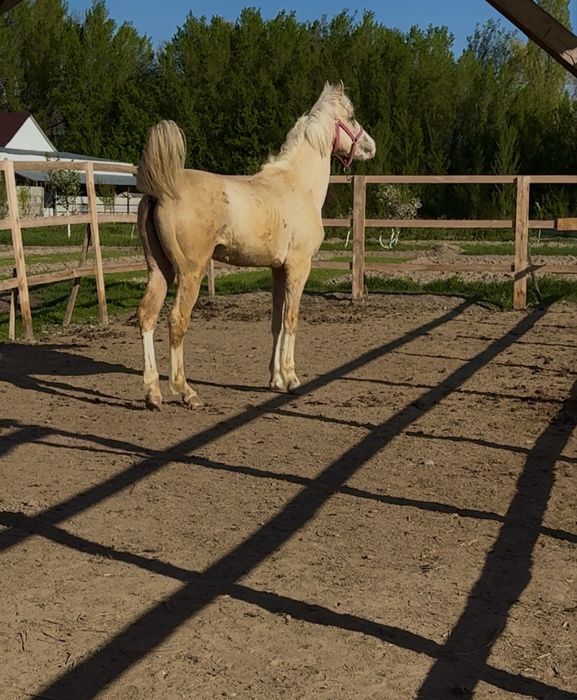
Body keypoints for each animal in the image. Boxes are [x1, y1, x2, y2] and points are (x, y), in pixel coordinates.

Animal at [136, 81, 376, 410]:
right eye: (351, 117)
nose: (371, 146)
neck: (298, 184)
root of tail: (162, 189)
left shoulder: (277, 269)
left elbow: (276, 322)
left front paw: (275, 379)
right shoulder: (299, 267)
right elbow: (291, 320)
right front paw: (292, 379)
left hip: (160, 270)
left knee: (147, 315)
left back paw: (153, 393)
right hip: (189, 273)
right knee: (176, 320)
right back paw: (186, 392)